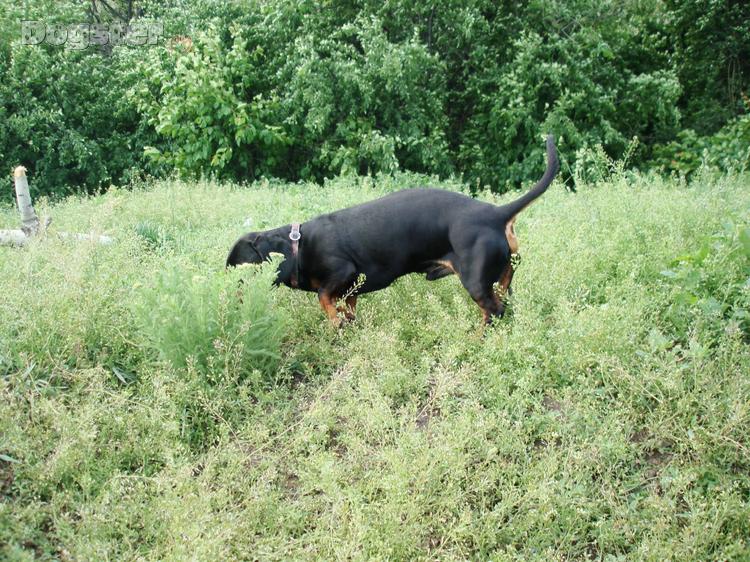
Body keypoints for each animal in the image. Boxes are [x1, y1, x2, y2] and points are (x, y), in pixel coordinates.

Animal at [227, 135, 559, 325]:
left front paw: (335, 322)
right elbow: (347, 307)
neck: (299, 245)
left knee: (495, 313)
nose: (228, 301)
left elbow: (323, 297)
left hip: (477, 284)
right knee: (506, 306)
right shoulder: (350, 289)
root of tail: (496, 213)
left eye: (240, 271)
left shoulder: (344, 272)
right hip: (502, 280)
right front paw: (347, 323)